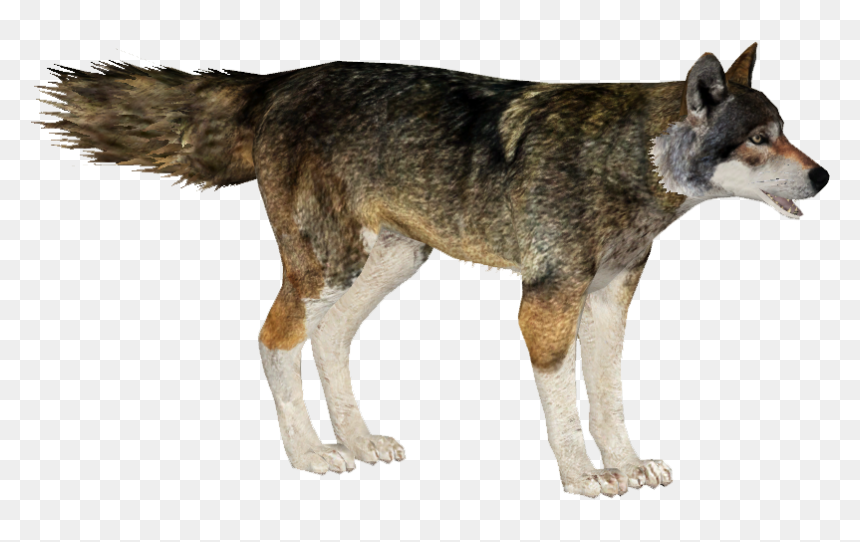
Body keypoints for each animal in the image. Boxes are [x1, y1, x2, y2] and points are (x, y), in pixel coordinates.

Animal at [37, 43, 828, 497]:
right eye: (759, 139)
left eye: (784, 131)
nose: (822, 176)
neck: (628, 155)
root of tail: (282, 82)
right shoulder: (545, 305)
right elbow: (567, 411)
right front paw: (582, 478)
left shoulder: (608, 300)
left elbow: (607, 399)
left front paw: (628, 463)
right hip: (328, 264)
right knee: (274, 339)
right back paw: (310, 455)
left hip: (391, 261)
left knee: (328, 339)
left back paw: (357, 441)